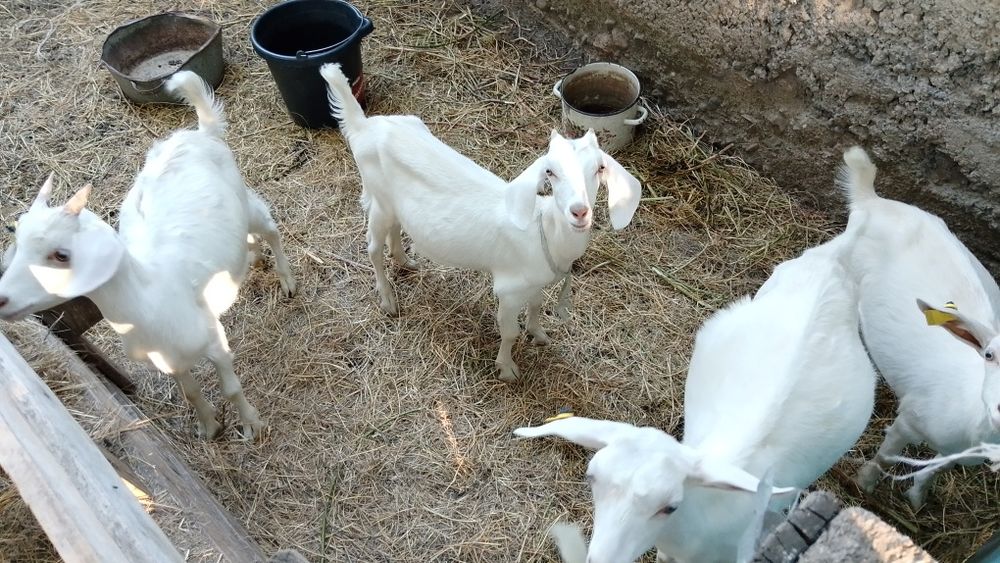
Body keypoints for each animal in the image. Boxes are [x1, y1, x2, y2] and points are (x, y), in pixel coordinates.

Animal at [0, 71, 295, 440]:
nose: (2, 299)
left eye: (61, 254)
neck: (148, 298)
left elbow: (231, 388)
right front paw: (209, 427)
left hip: (244, 198)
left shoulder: (214, 340)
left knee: (270, 227)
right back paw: (252, 258)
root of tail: (199, 132)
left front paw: (251, 425)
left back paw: (287, 280)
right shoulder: (169, 360)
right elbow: (191, 392)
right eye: (15, 238)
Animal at [320, 63, 642, 382]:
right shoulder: (509, 290)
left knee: (396, 230)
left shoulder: (536, 282)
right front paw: (507, 369)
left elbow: (537, 306)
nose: (579, 211)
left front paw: (539, 334)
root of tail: (364, 126)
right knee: (372, 247)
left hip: (394, 204)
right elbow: (509, 332)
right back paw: (388, 300)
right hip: (380, 200)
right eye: (550, 172)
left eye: (600, 168)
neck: (547, 231)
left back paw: (404, 261)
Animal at [842, 146, 1000, 508]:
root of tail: (873, 200)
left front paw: (915, 498)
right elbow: (888, 455)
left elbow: (935, 469)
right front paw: (863, 484)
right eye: (988, 355)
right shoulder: (911, 417)